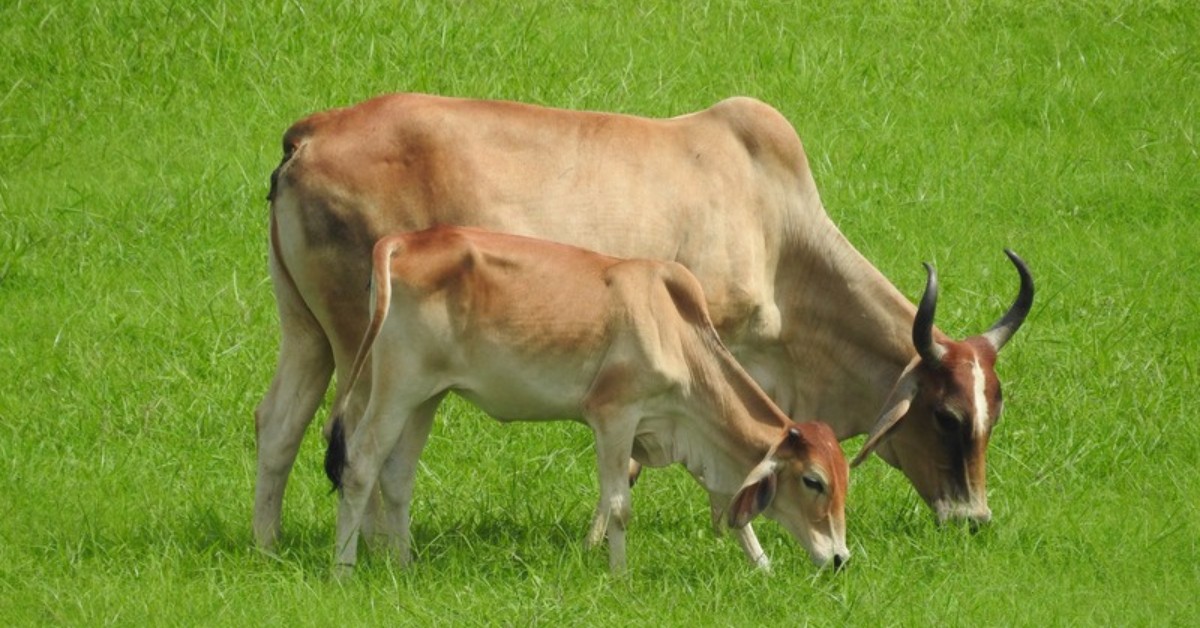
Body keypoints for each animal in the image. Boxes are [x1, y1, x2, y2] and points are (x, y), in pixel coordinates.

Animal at [322, 226, 850, 574]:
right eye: (813, 481)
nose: (841, 558)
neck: (674, 328)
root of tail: (402, 242)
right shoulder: (614, 415)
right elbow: (618, 505)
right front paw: (620, 577)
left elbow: (725, 501)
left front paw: (763, 566)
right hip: (396, 388)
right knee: (360, 465)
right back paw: (344, 569)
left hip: (425, 399)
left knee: (396, 477)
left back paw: (405, 566)